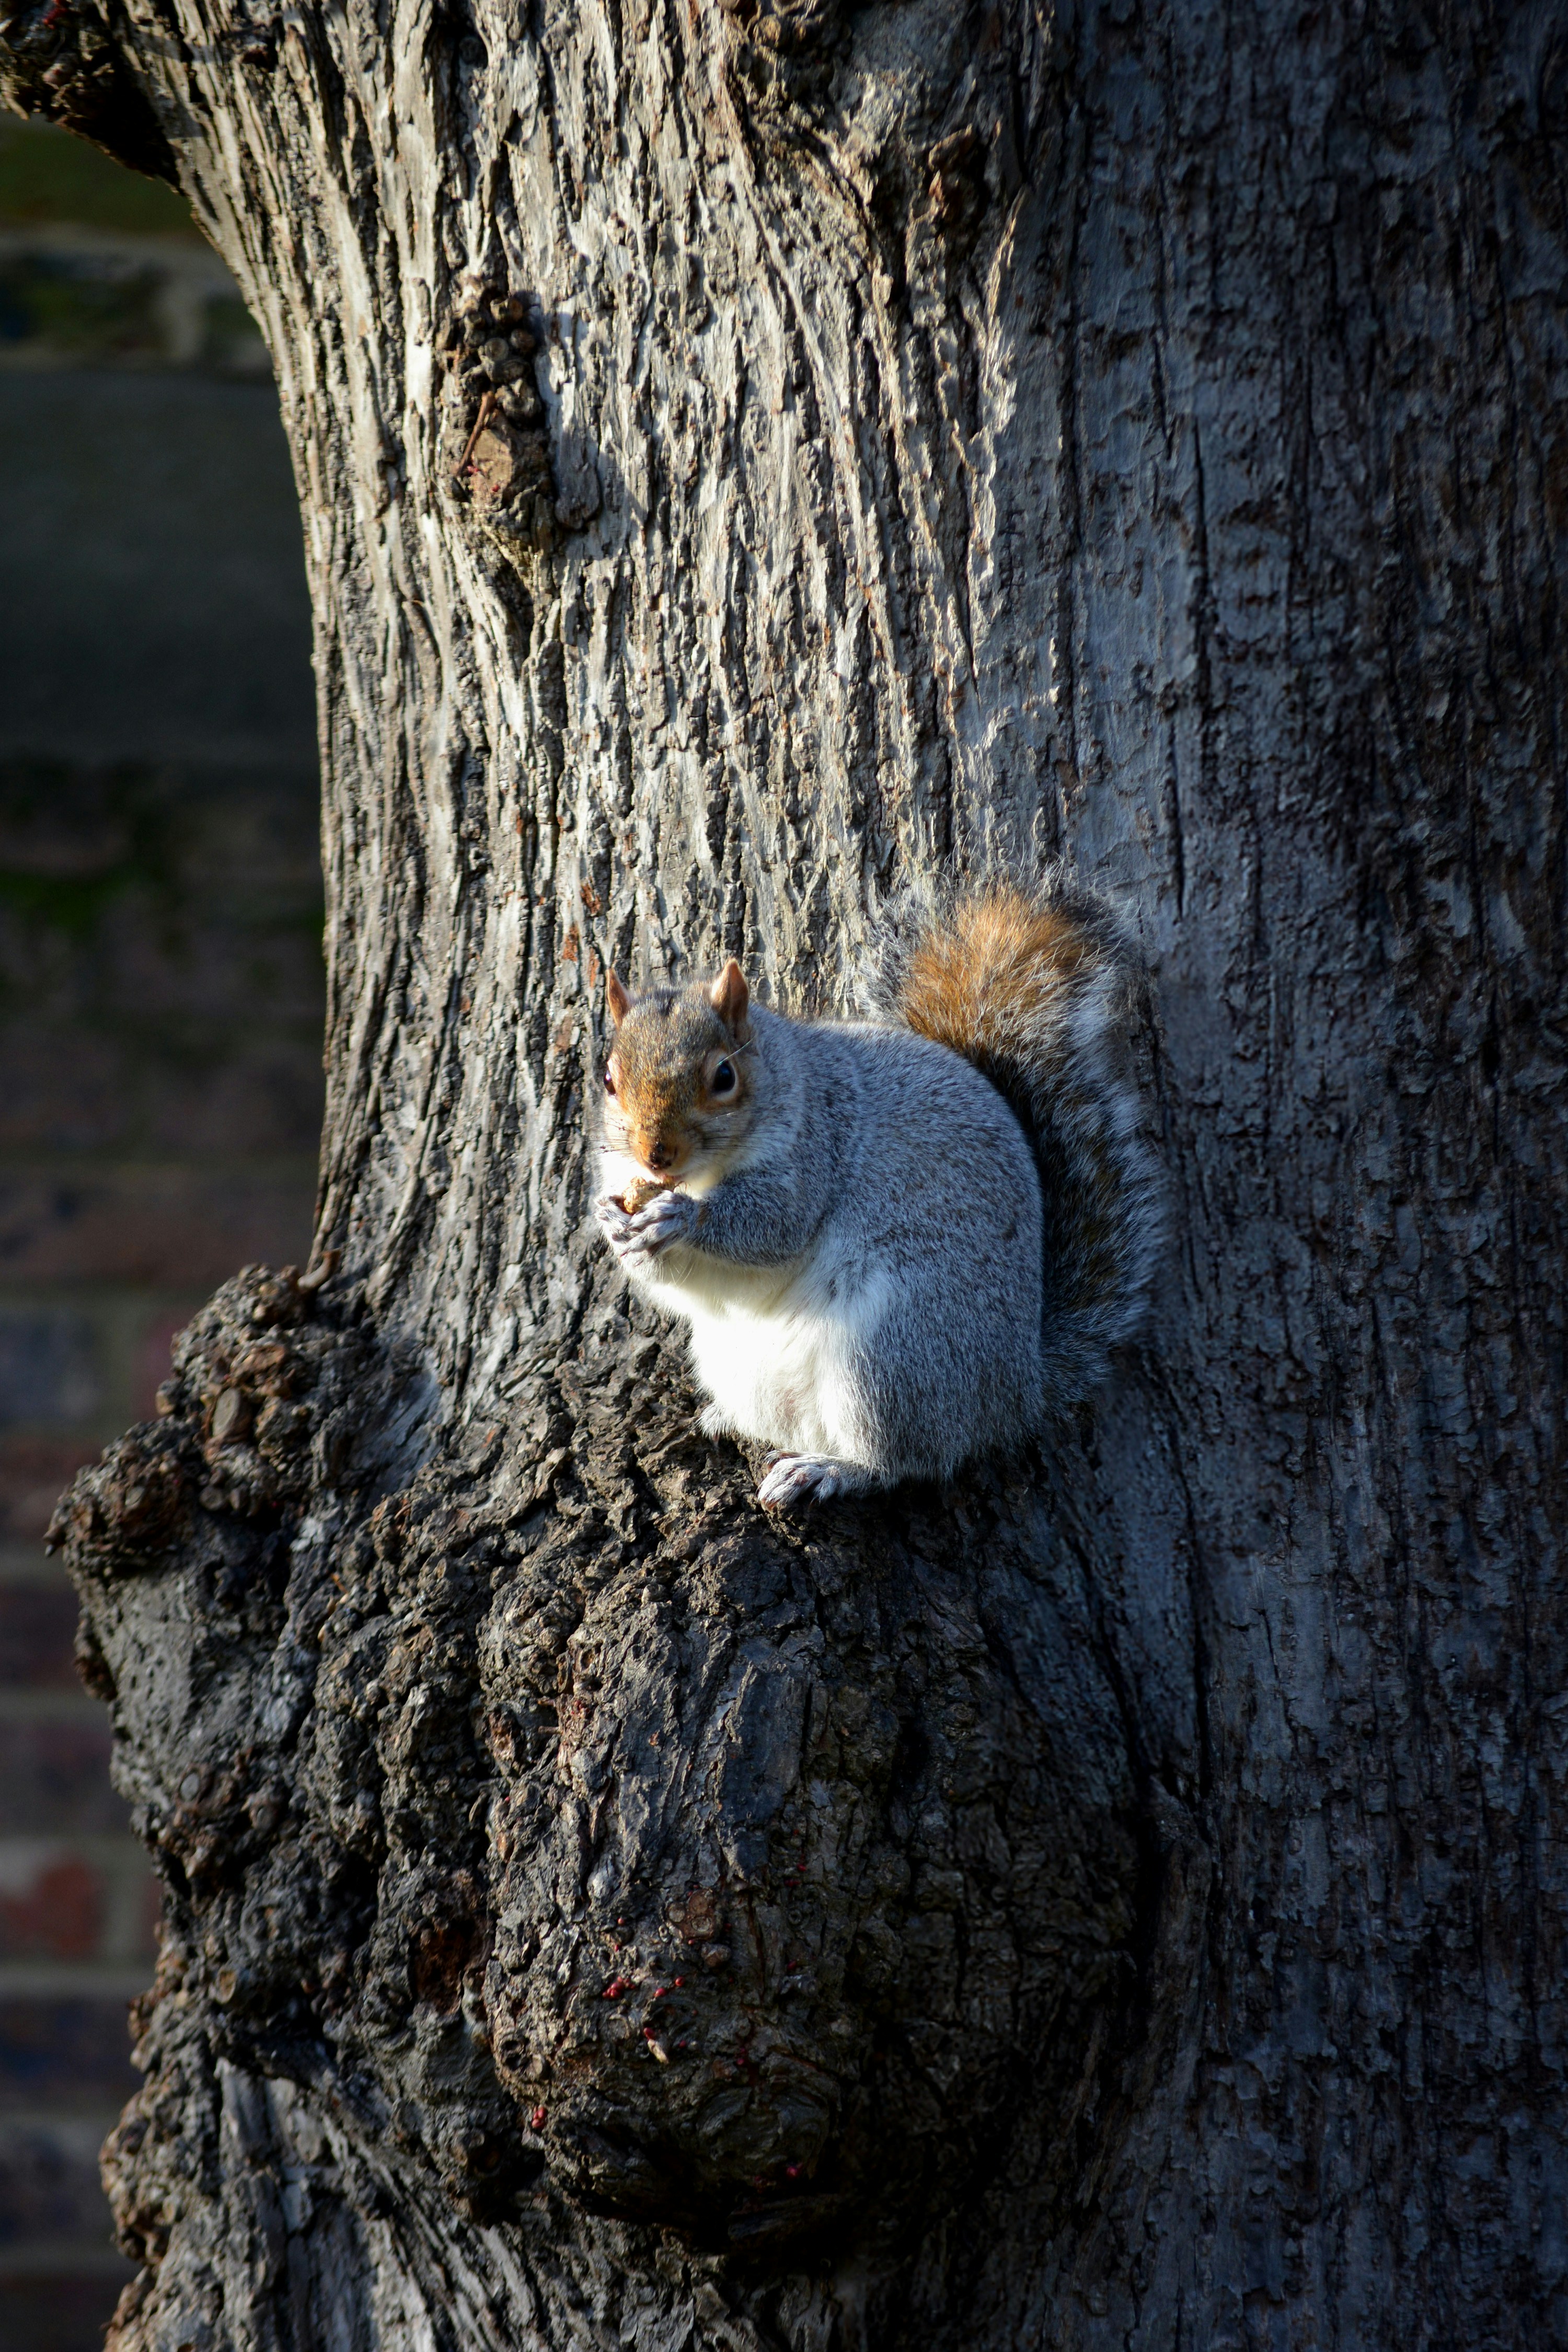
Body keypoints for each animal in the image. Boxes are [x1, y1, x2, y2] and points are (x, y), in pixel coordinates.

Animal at [593, 875, 1161, 1511]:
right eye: (610, 1079)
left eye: (723, 1077)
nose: (656, 1157)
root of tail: (1017, 1393)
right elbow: (685, 1286)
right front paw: (615, 1227)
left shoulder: (815, 1151)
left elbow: (773, 1228)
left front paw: (678, 1216)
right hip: (740, 1363)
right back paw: (727, 1419)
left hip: (888, 1358)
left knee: (906, 1460)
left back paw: (829, 1469)